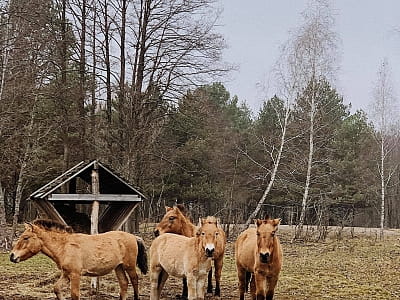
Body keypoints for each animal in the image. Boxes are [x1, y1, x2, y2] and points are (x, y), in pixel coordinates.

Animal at [10, 218, 148, 300]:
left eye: (26, 237)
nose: (12, 256)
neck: (64, 246)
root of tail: (134, 237)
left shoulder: (75, 274)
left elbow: (75, 295)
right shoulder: (66, 274)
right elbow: (56, 288)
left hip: (129, 266)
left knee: (134, 280)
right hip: (118, 267)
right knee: (124, 283)